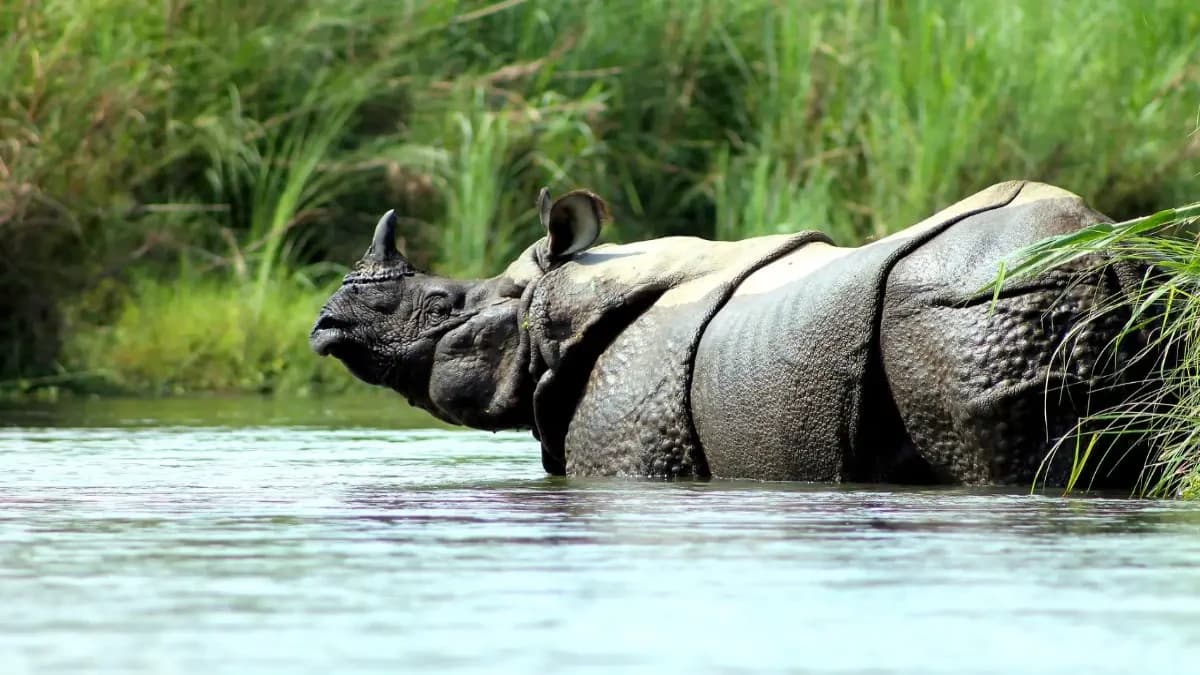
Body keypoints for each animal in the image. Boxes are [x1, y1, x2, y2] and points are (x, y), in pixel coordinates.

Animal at [310, 180, 1153, 487]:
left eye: (443, 303)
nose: (325, 323)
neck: (558, 300)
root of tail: (1105, 255)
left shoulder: (631, 430)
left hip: (977, 308)